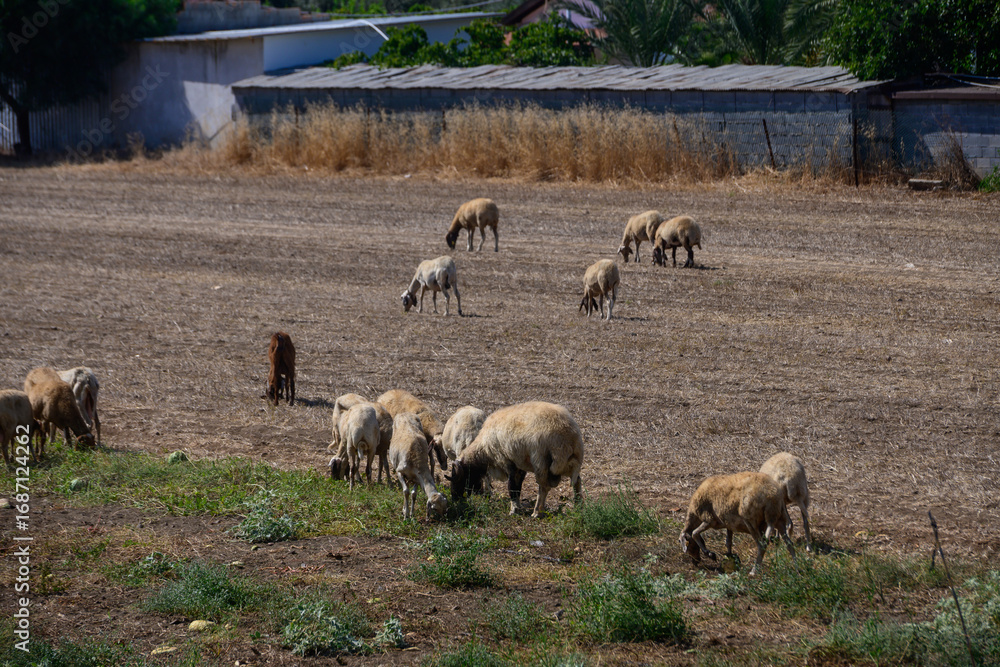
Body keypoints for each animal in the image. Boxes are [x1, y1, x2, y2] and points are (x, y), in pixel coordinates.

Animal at [448, 401, 583, 518]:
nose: (454, 498)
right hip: (567, 464)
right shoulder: (520, 465)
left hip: (542, 462)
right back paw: (578, 506)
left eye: (457, 479)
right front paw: (517, 506)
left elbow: (512, 487)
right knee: (576, 481)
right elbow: (517, 487)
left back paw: (537, 513)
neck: (484, 450)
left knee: (544, 487)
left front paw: (514, 510)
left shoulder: (508, 462)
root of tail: (569, 437)